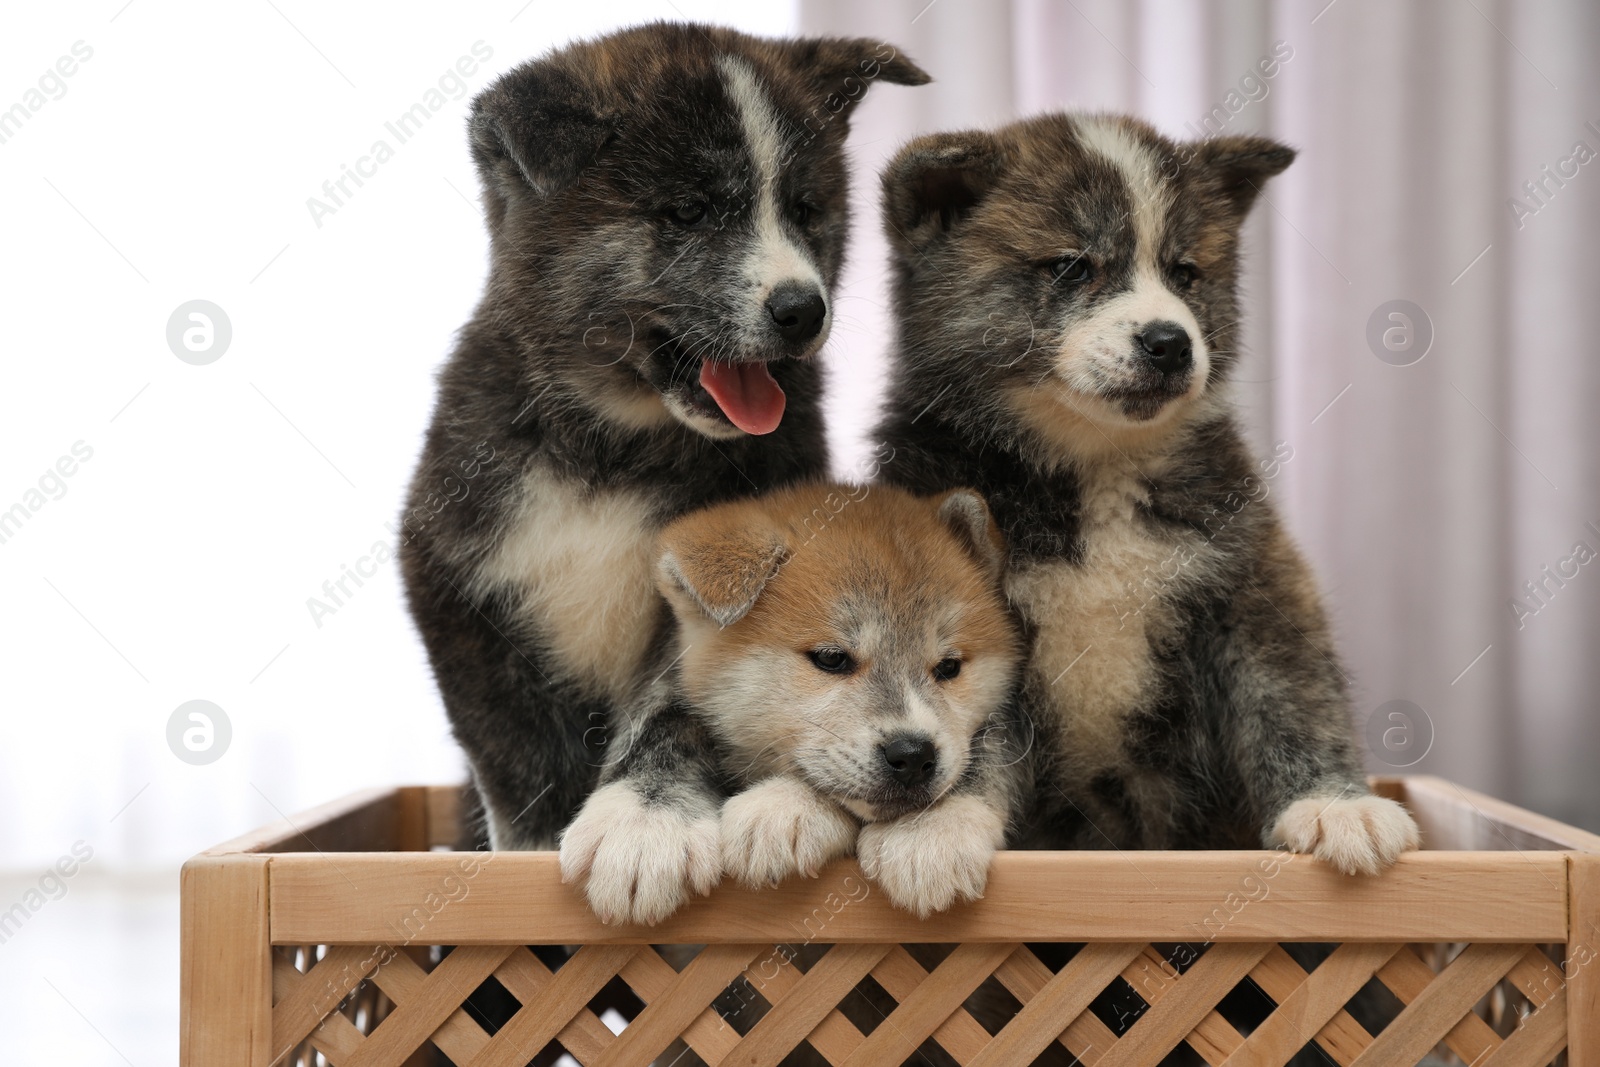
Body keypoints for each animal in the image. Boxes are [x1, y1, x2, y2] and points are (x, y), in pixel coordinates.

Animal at [392, 24, 934, 883]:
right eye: (689, 211)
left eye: (806, 209)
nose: (803, 310)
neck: (611, 447)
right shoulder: (455, 587)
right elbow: (517, 760)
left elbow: (672, 711)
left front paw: (642, 821)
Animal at [870, 112, 1420, 870]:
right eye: (1072, 265)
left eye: (1185, 273)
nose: (1170, 343)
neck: (1096, 465)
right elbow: (972, 727)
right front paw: (937, 825)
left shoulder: (1252, 576)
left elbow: (1292, 694)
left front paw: (1336, 804)